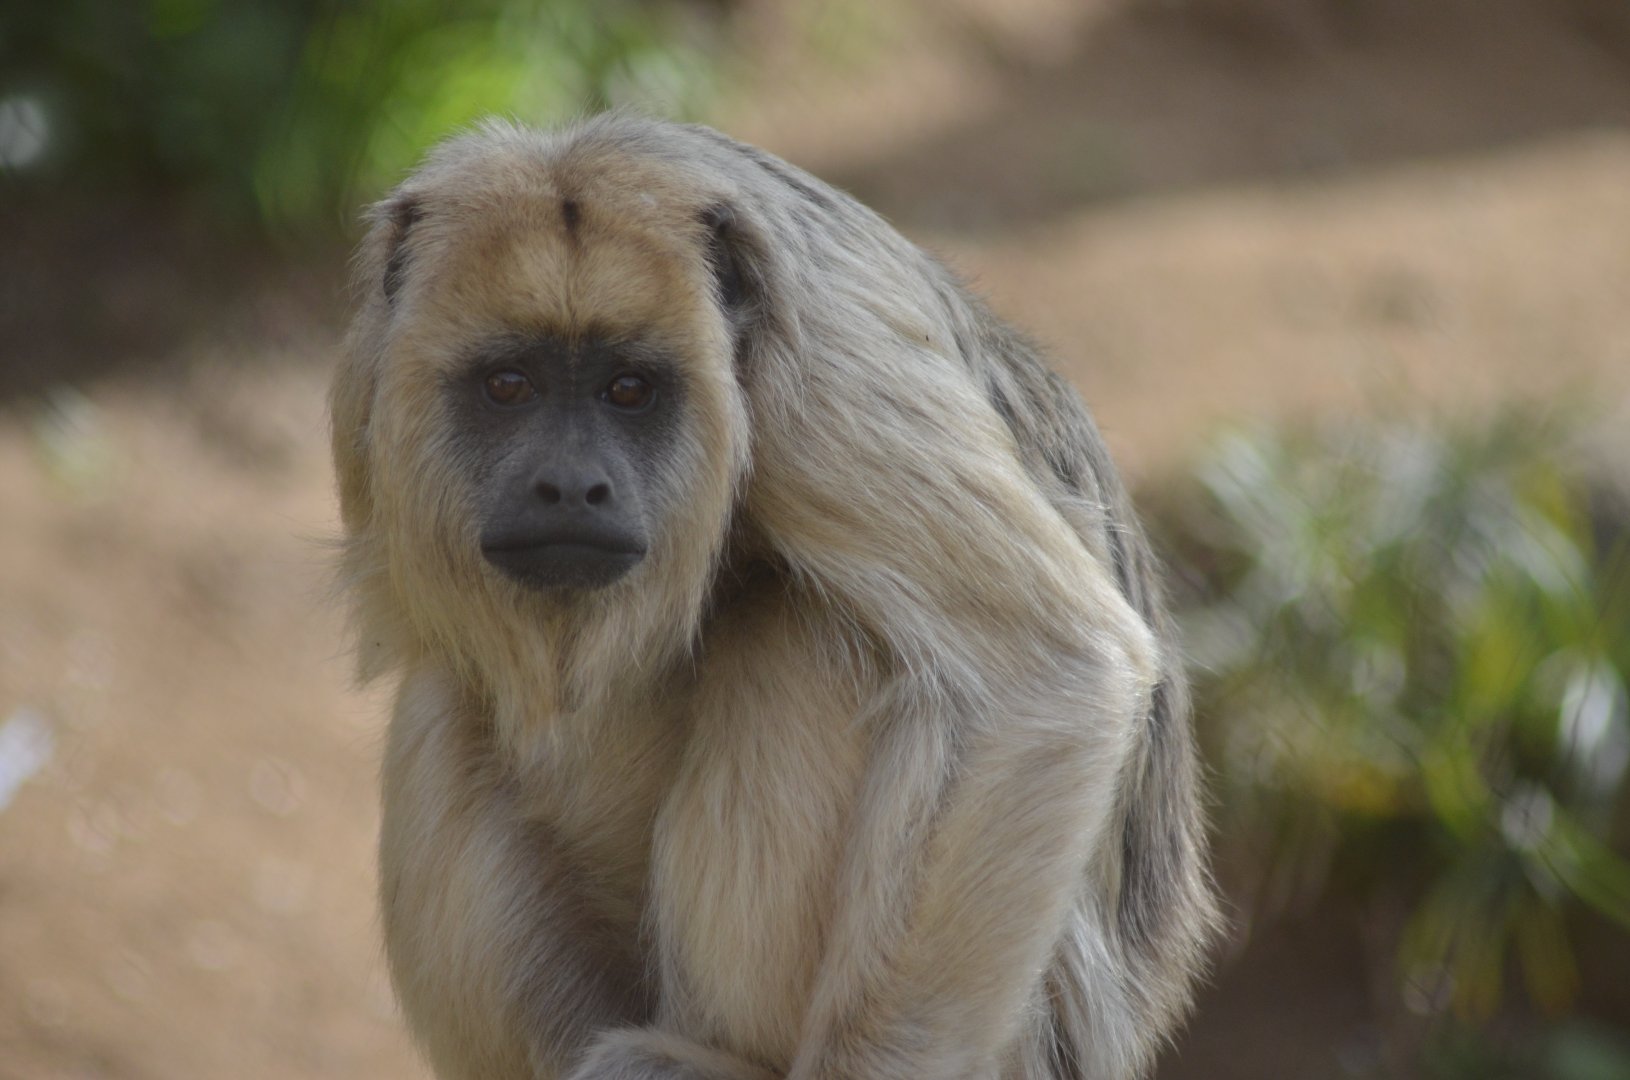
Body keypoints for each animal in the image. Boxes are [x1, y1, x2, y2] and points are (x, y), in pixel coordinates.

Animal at [330, 114, 1219, 1080]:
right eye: (508, 386)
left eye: (628, 389)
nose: (569, 486)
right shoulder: (363, 384)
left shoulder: (827, 374)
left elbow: (1047, 674)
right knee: (444, 697)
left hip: (1031, 1043)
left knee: (803, 641)